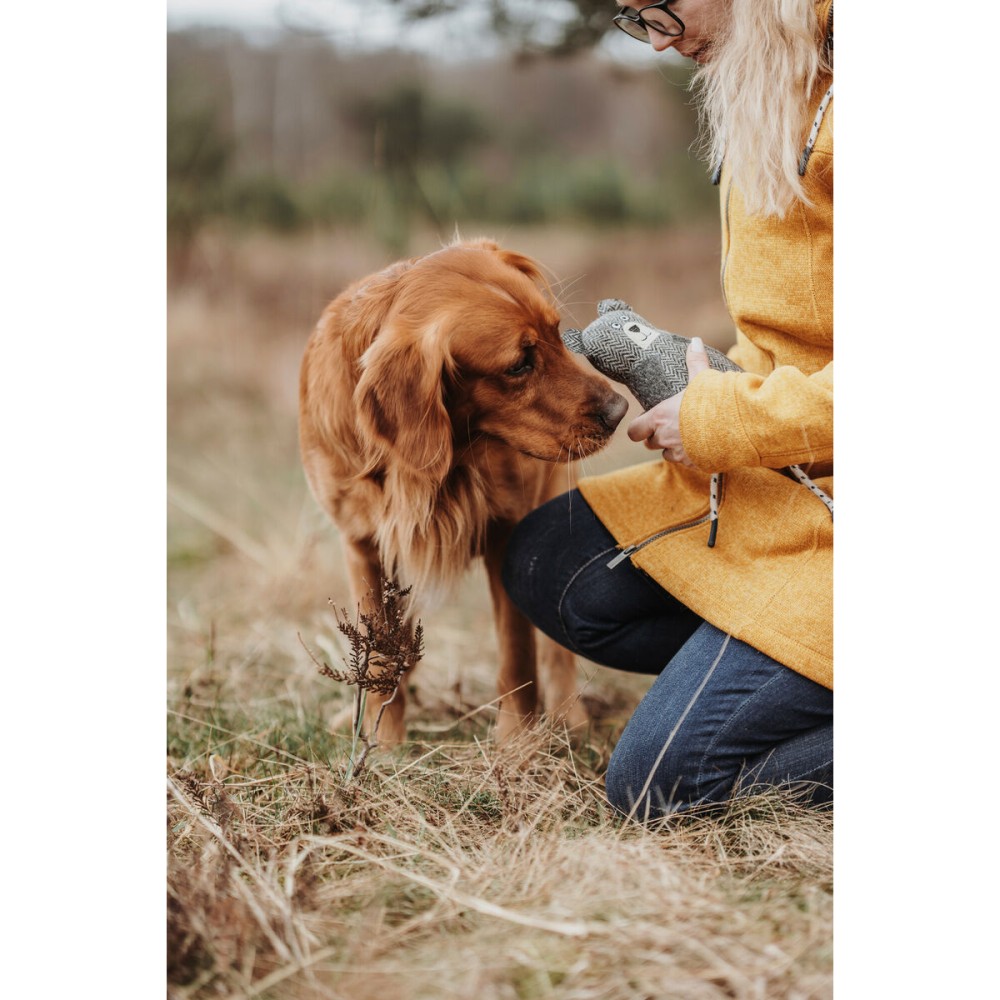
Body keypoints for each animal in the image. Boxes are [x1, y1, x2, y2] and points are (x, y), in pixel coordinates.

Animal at [296, 236, 624, 744]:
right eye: (519, 364)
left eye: (558, 332)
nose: (619, 410)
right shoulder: (363, 545)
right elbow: (383, 656)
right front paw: (385, 743)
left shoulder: (508, 535)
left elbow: (518, 656)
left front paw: (517, 744)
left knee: (555, 650)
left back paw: (569, 716)